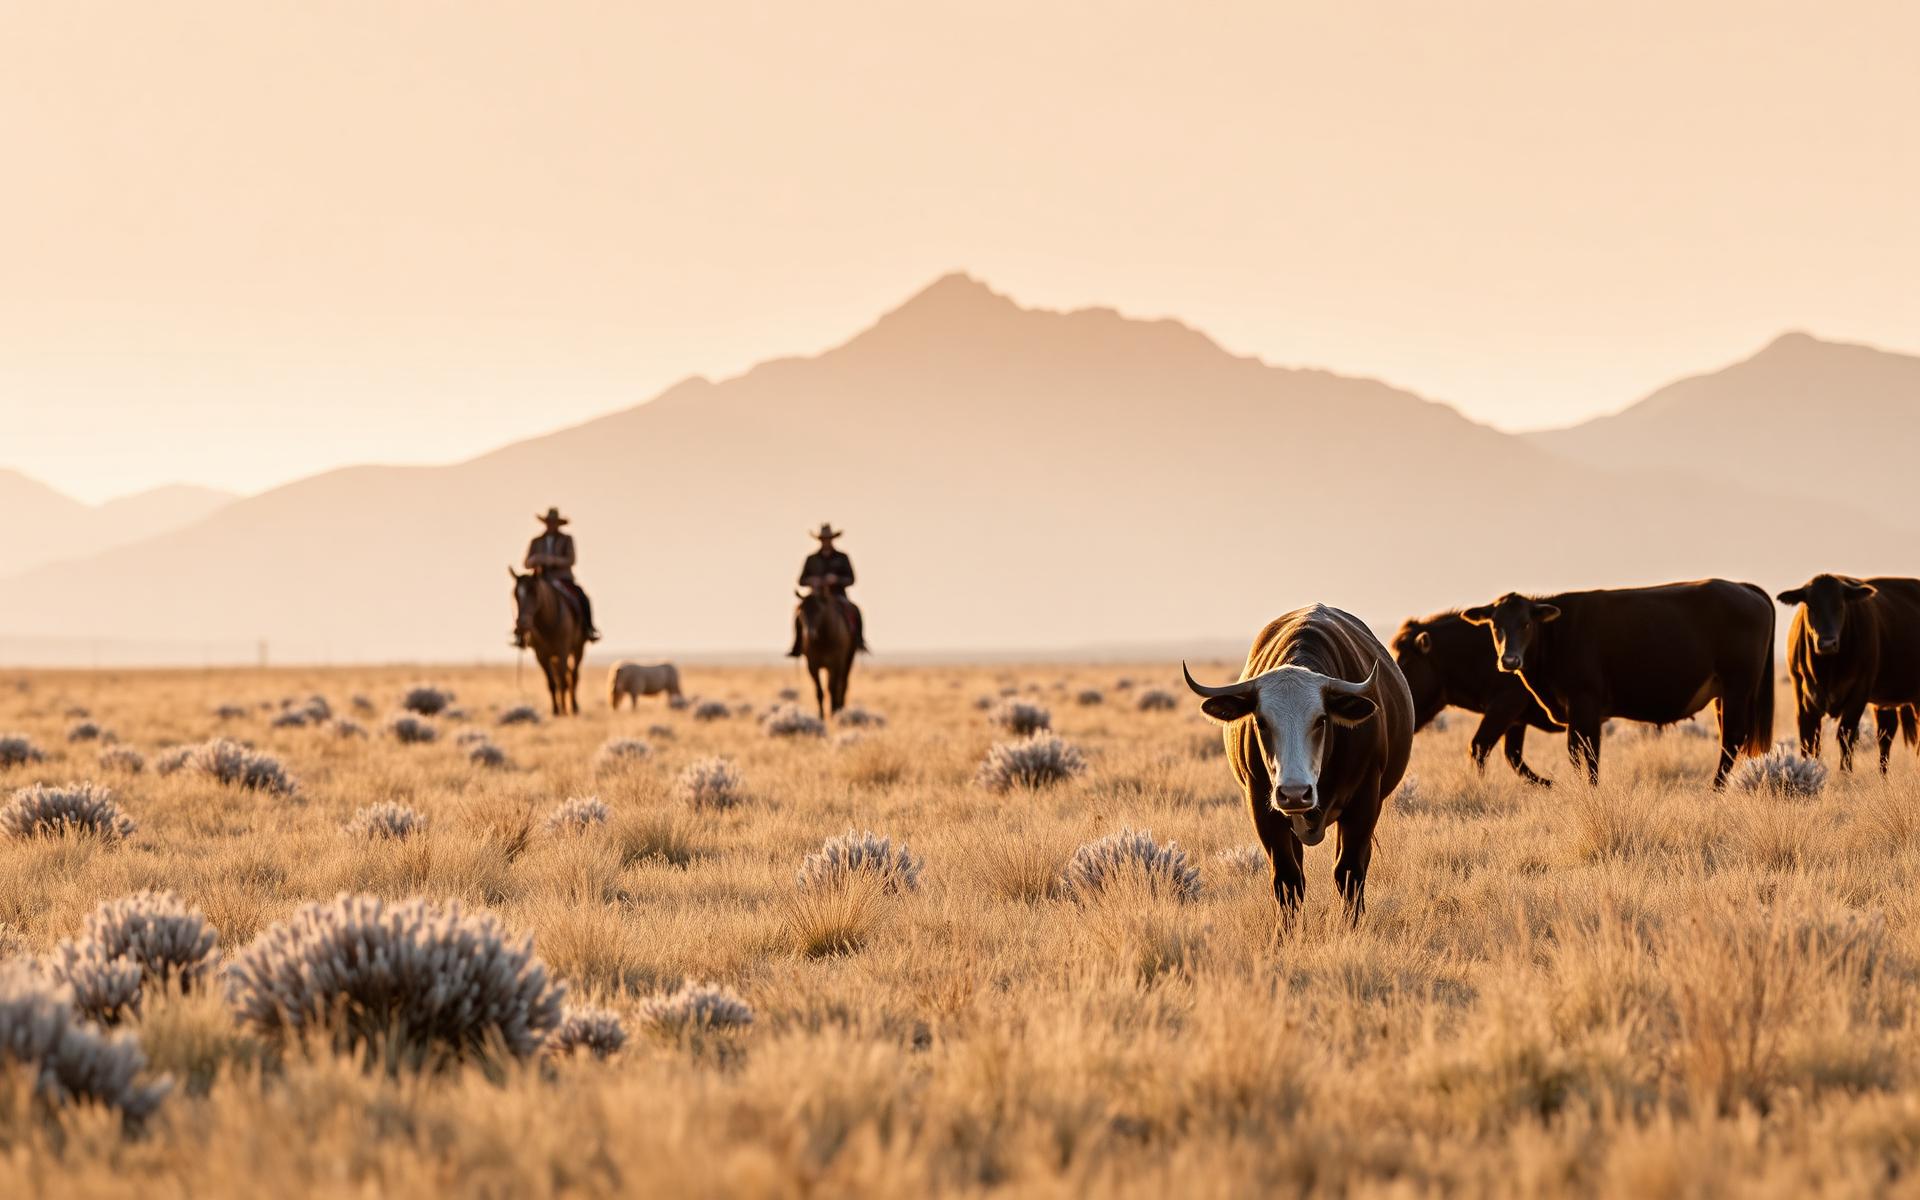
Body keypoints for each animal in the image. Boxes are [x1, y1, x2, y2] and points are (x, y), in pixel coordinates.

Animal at [1184, 605, 1414, 920]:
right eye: (1261, 721)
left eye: (1321, 720)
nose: (1294, 793)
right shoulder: (1263, 808)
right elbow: (1287, 879)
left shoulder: (1365, 802)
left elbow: (1349, 872)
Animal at [1391, 611, 1557, 786]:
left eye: (1405, 662)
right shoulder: (1515, 720)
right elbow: (1513, 757)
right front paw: (1548, 782)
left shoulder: (1505, 707)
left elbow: (1479, 747)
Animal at [1461, 579, 1775, 788]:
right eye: (1495, 625)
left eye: (1526, 623)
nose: (1510, 659)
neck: (1557, 633)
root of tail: (1743, 588)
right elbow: (1584, 752)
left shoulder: (1584, 702)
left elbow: (1584, 752)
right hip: (1723, 695)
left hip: (1737, 689)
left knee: (1731, 739)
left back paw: (1716, 788)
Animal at [1776, 574, 1920, 773]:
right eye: (1810, 606)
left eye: (1840, 605)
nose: (1827, 643)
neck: (1827, 670)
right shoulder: (1802, 698)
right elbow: (1809, 740)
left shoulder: (1859, 693)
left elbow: (1846, 736)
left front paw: (1846, 774)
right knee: (1886, 735)